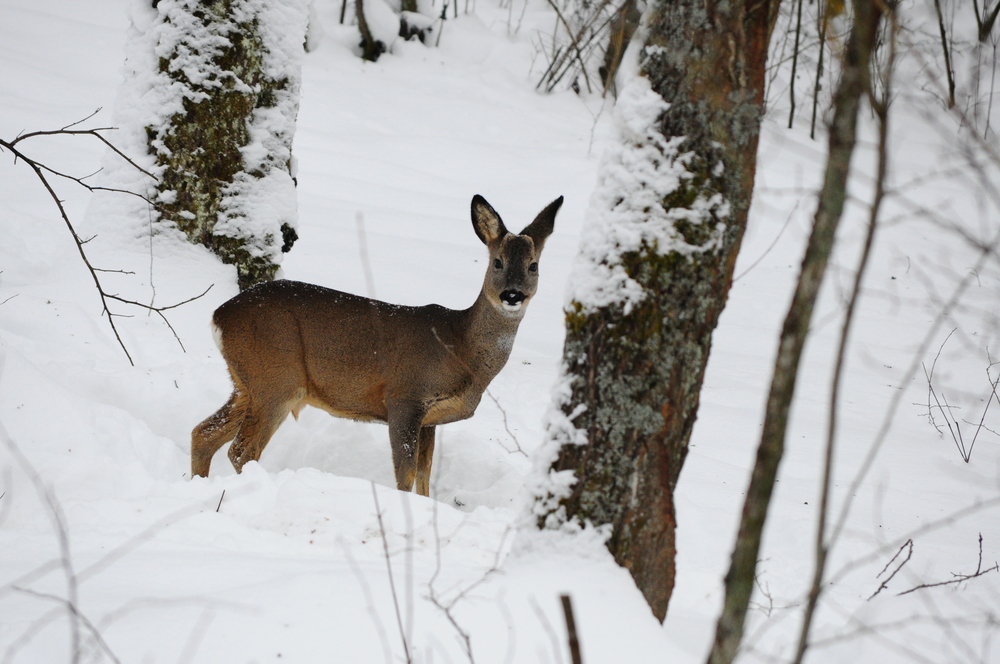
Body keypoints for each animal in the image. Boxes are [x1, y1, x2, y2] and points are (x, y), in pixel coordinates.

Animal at [189, 195, 564, 496]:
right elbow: (405, 476)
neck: (459, 348)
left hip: (246, 383)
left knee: (203, 433)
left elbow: (425, 477)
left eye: (533, 266)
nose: (512, 295)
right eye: (497, 262)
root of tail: (218, 316)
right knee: (241, 450)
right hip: (276, 380)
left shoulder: (430, 419)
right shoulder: (404, 397)